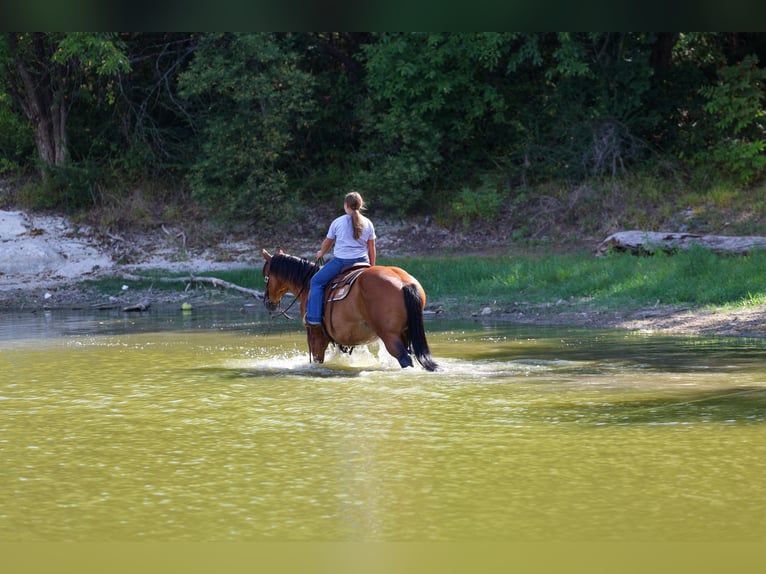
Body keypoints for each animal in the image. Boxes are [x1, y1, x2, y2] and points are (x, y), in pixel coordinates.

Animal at [261, 249, 438, 371]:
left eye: (265, 276)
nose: (268, 302)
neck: (308, 285)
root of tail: (404, 283)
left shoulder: (315, 334)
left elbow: (317, 359)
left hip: (390, 335)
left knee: (404, 358)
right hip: (405, 333)